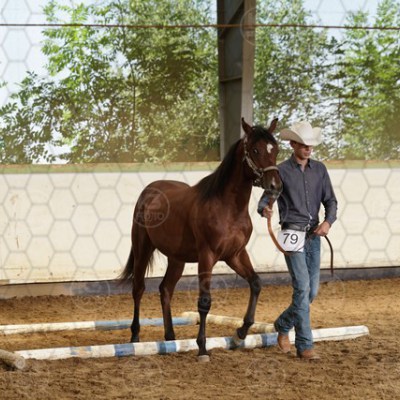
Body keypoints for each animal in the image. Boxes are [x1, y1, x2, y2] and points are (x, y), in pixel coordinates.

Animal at [120, 117, 282, 361]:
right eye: (255, 149)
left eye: (276, 149)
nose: (275, 186)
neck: (227, 207)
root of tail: (149, 191)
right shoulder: (208, 255)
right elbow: (205, 301)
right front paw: (203, 348)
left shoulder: (235, 255)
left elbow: (255, 283)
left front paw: (241, 332)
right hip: (143, 249)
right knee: (138, 289)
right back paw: (135, 337)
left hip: (177, 259)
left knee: (165, 289)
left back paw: (170, 337)